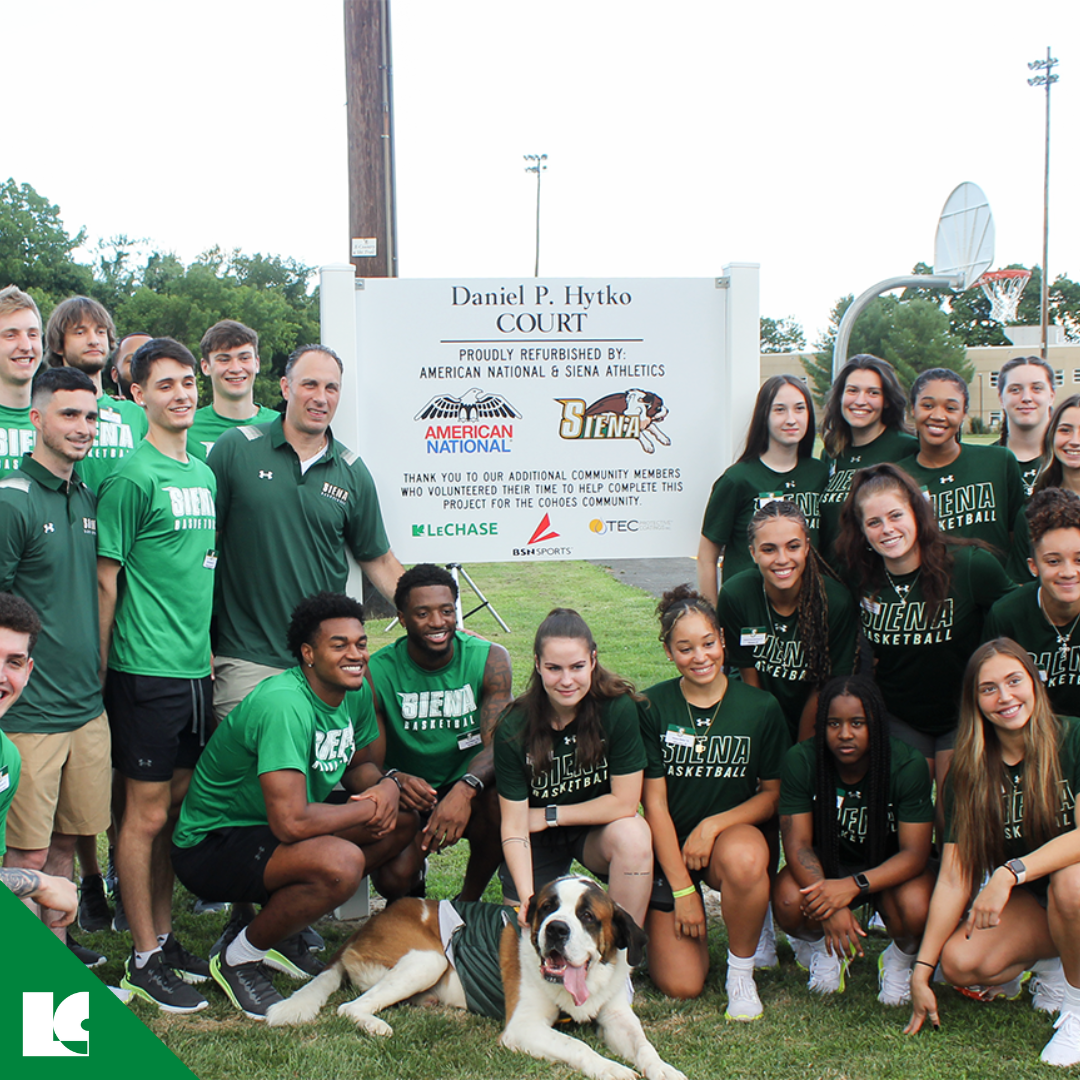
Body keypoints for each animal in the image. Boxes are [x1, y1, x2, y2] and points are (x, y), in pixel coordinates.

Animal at [266, 876, 682, 1080]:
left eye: (588, 916)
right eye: (547, 908)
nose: (556, 929)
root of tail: (368, 924)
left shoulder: (617, 1015)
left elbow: (643, 1043)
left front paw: (662, 1068)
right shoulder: (523, 1028)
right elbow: (578, 1046)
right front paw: (613, 1069)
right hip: (428, 959)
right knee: (350, 1006)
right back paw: (374, 1024)